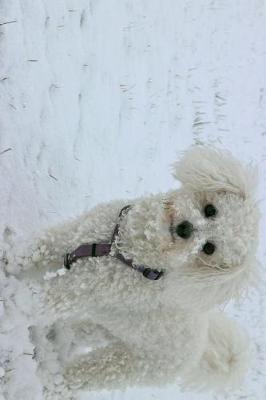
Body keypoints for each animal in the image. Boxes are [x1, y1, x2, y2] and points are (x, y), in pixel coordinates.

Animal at [25, 146, 260, 394]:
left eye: (209, 249)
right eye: (210, 210)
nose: (185, 229)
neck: (126, 250)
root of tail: (199, 352)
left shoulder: (81, 289)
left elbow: (31, 299)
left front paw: (13, 303)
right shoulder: (70, 237)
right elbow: (29, 252)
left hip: (126, 366)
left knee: (75, 377)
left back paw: (49, 377)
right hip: (115, 328)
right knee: (85, 331)